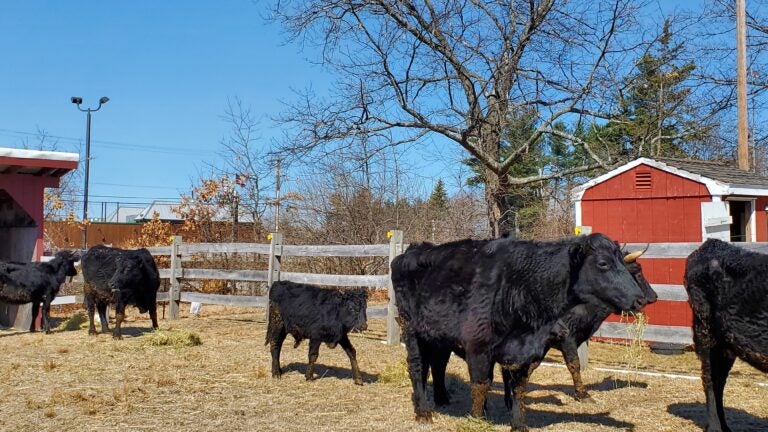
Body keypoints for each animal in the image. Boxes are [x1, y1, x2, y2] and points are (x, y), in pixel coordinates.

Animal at [391, 233, 647, 431]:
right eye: (603, 263)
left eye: (624, 264)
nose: (641, 299)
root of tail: (412, 250)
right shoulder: (478, 348)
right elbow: (481, 385)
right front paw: (478, 419)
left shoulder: (529, 353)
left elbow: (519, 389)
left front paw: (518, 424)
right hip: (410, 328)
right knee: (417, 367)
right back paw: (423, 412)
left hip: (438, 336)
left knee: (437, 363)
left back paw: (441, 399)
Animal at [684, 239, 768, 432]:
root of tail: (711, 243)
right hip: (705, 330)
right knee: (709, 379)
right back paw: (715, 427)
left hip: (725, 345)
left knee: (719, 381)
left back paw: (725, 426)